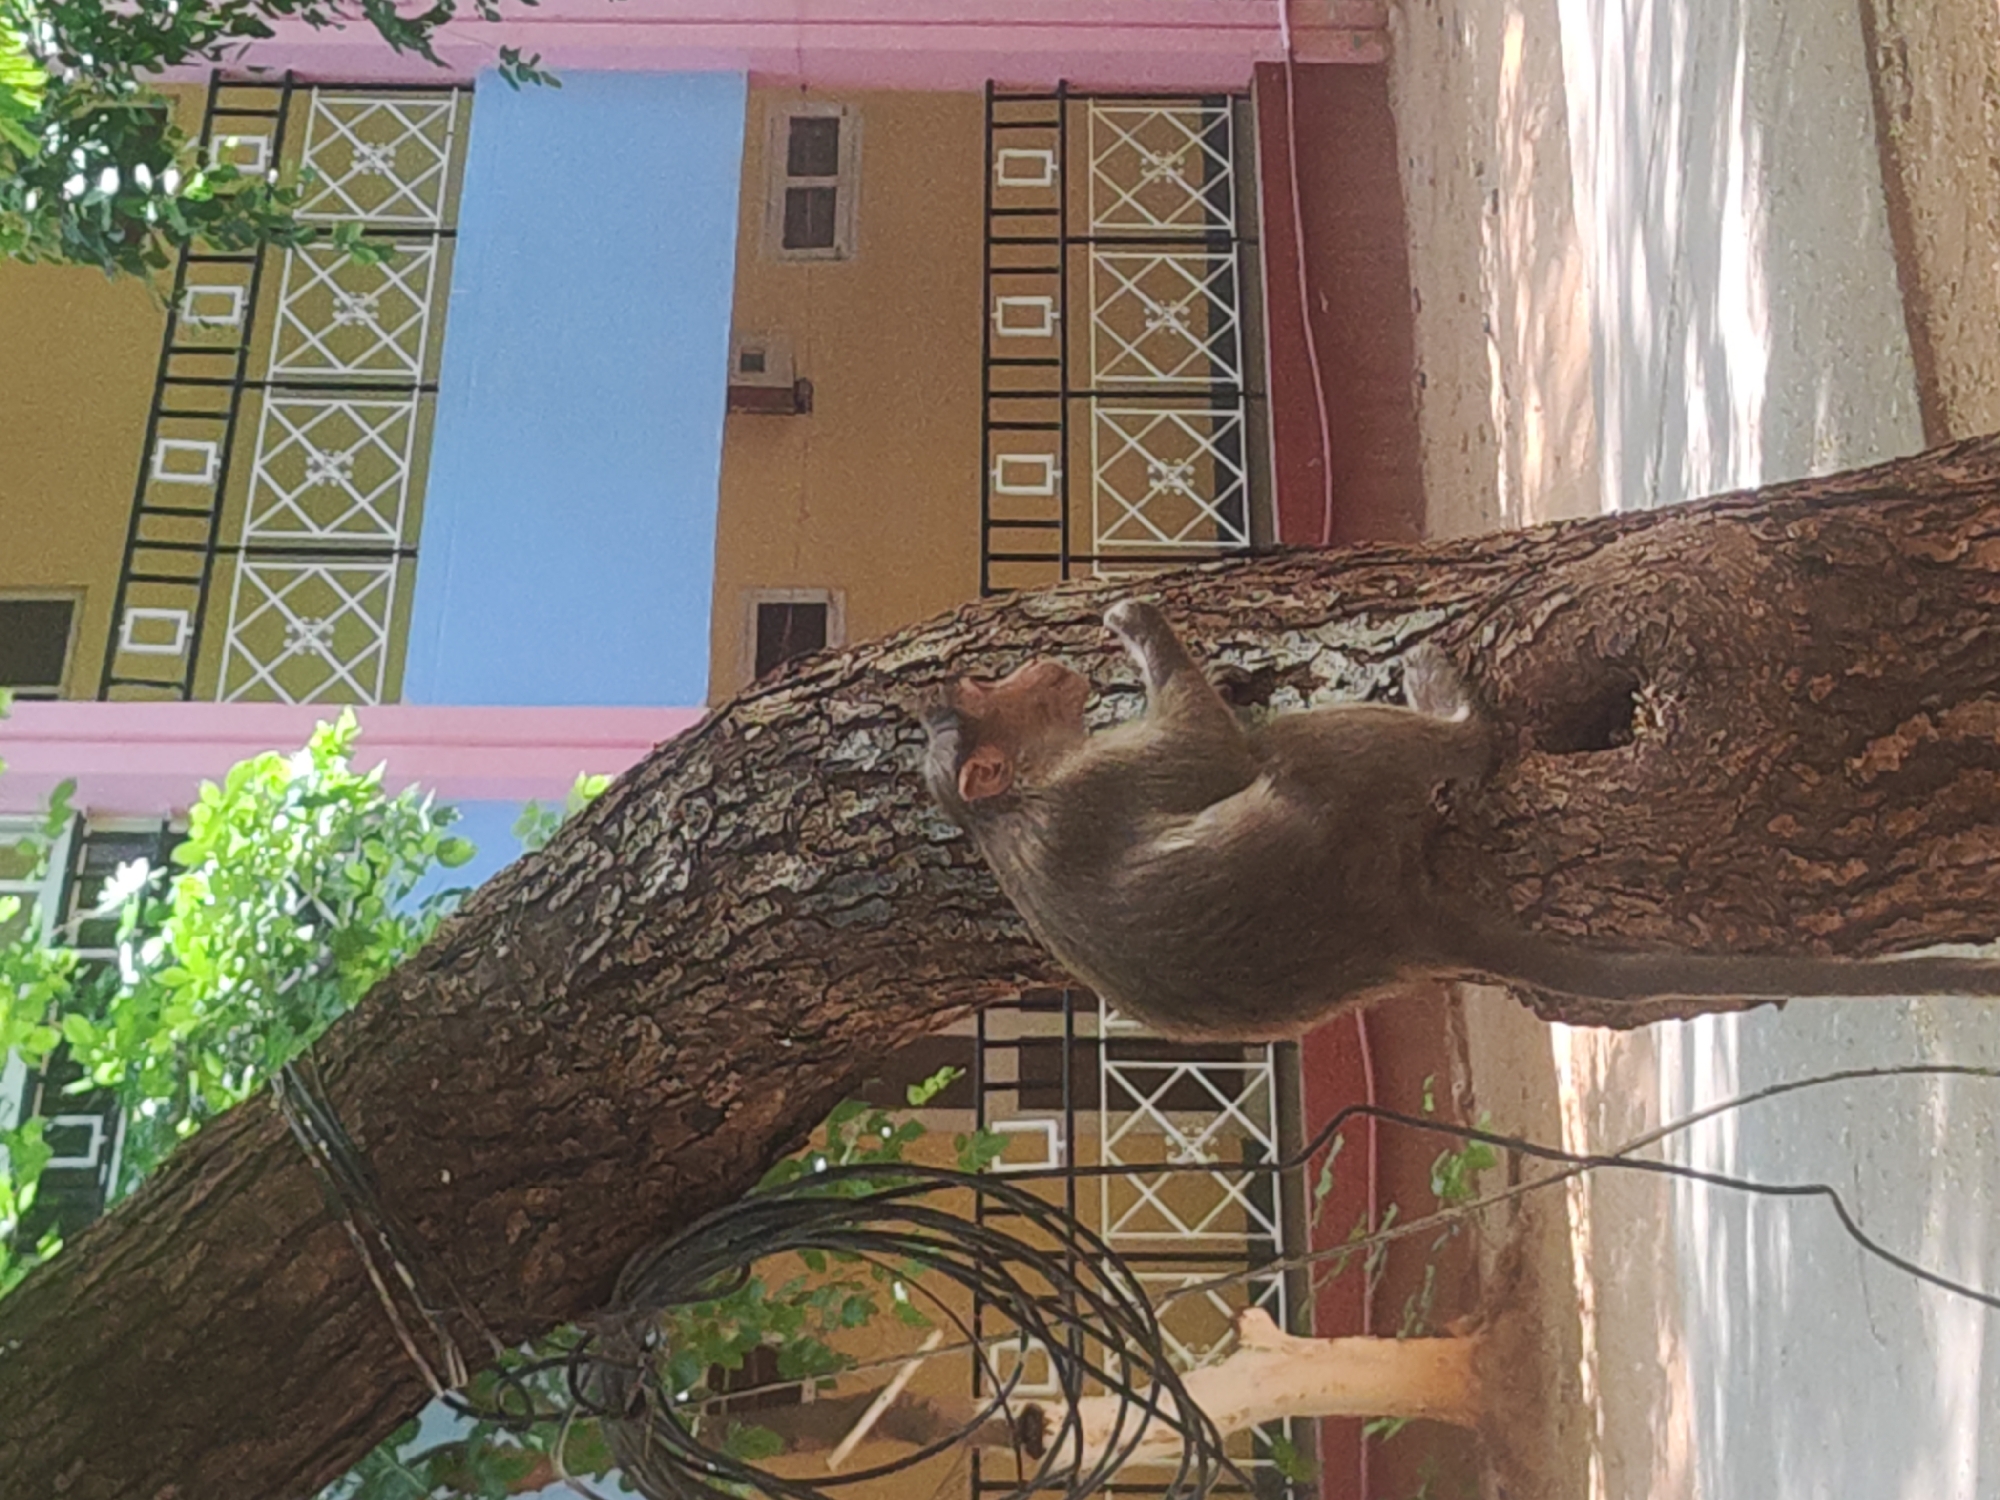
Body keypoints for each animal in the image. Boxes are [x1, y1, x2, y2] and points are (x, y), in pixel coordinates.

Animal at [917, 599, 2000, 1040]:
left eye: (970, 681)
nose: (1040, 665)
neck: (1002, 815)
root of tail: (1389, 925)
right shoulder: (1104, 779)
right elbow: (1207, 751)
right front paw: (1142, 629)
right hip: (1342, 810)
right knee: (1306, 753)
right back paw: (1462, 724)